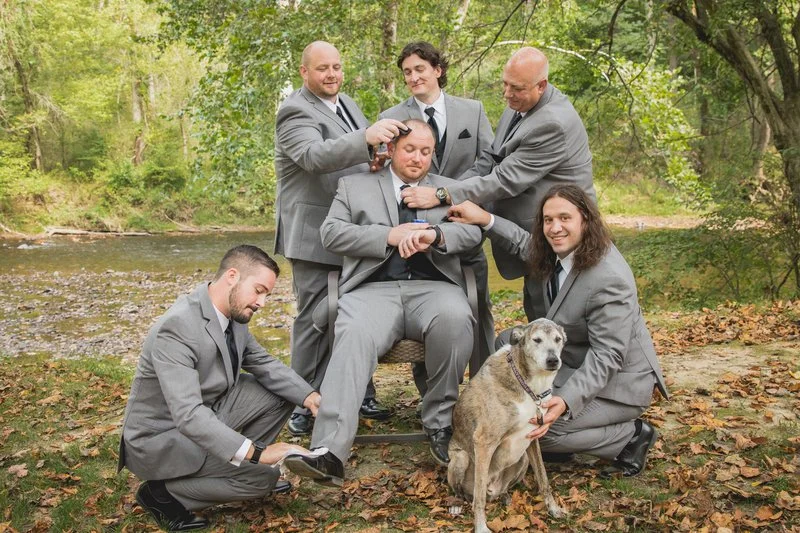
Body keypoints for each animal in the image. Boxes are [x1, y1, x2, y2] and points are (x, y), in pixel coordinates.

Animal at [447, 318, 568, 532]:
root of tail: (493, 489)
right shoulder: (484, 441)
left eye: (558, 339)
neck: (530, 386)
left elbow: (543, 479)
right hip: (460, 458)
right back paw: (456, 504)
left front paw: (553, 509)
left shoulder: (533, 437)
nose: (553, 360)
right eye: (537, 340)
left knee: (499, 490)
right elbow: (478, 498)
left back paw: (504, 496)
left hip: (523, 458)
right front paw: (480, 527)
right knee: (468, 493)